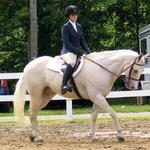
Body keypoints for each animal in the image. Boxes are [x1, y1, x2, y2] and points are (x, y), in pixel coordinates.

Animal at [13, 49, 147, 144]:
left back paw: (33, 135)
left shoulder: (98, 97)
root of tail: (28, 66)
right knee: (32, 113)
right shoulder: (98, 97)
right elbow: (112, 113)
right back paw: (38, 137)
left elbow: (93, 116)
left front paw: (94, 137)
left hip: (46, 95)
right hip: (36, 94)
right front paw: (120, 136)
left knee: (33, 112)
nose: (132, 87)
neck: (101, 69)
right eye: (136, 70)